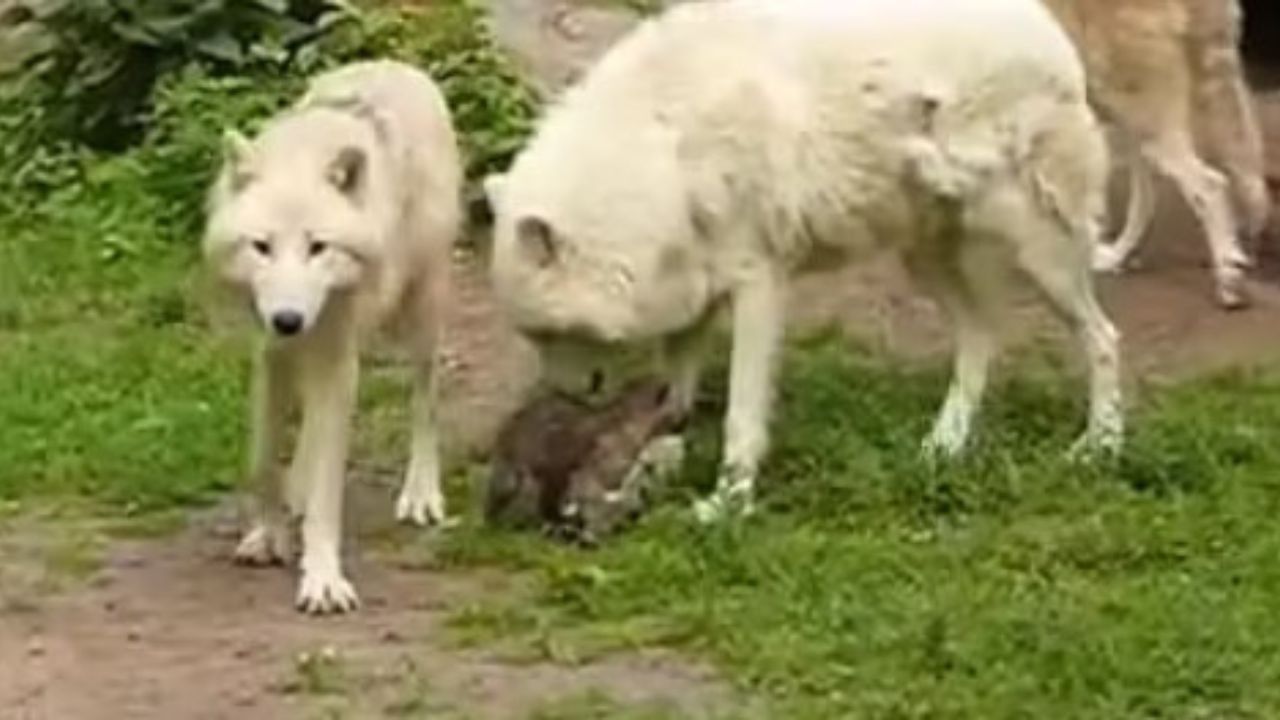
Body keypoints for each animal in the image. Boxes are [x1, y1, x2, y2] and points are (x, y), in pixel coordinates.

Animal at [207, 60, 468, 609]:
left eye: (318, 247)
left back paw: (420, 494)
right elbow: (264, 458)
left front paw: (323, 579)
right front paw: (268, 535)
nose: (288, 319)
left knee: (425, 399)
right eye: (261, 246)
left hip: (423, 311)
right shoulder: (270, 353)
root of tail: (397, 64)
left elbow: (330, 488)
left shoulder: (336, 357)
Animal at [483, 0, 1126, 517]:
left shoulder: (757, 284)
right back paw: (944, 445)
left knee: (1102, 336)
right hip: (924, 258)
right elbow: (678, 384)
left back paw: (1100, 446)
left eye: (545, 333)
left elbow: (742, 414)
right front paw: (660, 446)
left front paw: (728, 503)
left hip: (1042, 256)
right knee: (981, 337)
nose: (567, 399)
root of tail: (1049, 29)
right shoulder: (694, 291)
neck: (665, 152)